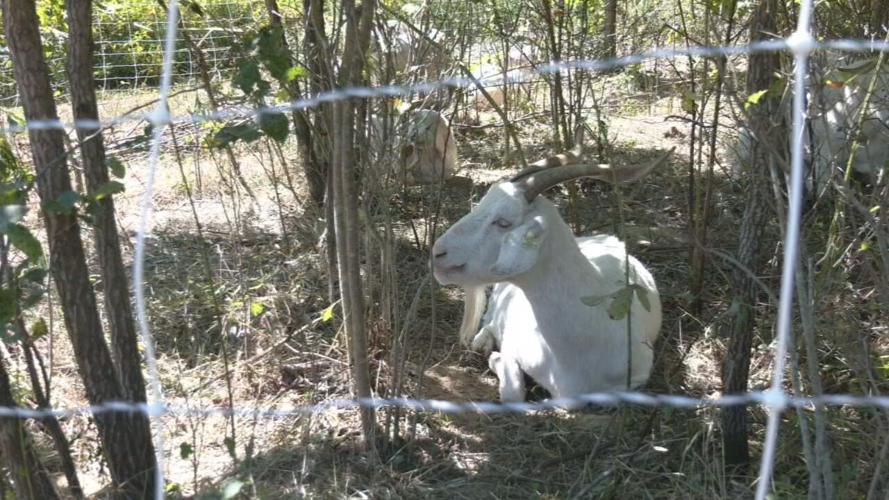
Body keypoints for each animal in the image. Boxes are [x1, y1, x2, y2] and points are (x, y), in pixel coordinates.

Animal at [431, 146, 672, 403]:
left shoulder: (635, 380)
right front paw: (494, 356)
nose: (438, 252)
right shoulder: (513, 343)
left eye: (503, 222)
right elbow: (512, 392)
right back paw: (482, 342)